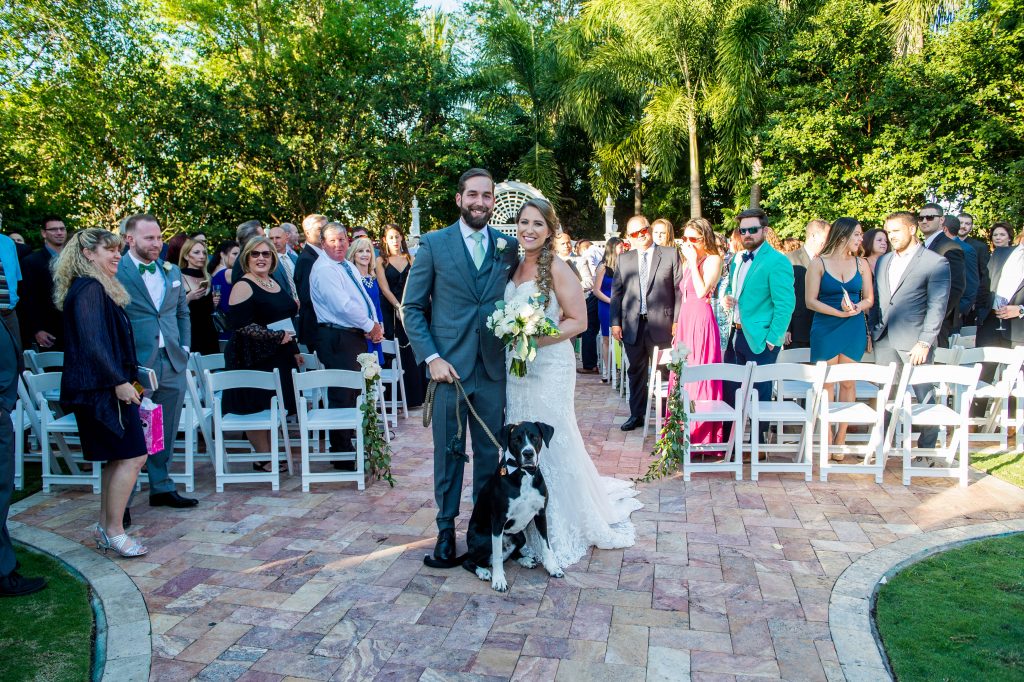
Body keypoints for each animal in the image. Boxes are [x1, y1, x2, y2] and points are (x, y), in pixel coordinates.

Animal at [423, 419, 569, 589]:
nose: (528, 453)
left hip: (520, 536)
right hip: (484, 539)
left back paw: (525, 560)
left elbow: (546, 546)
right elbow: (498, 555)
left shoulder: (540, 514)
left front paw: (553, 568)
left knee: (511, 554)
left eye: (535, 438)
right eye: (516, 439)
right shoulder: (498, 521)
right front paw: (499, 580)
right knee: (471, 561)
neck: (523, 474)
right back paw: (483, 572)